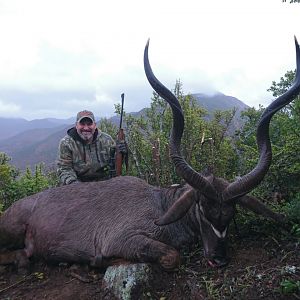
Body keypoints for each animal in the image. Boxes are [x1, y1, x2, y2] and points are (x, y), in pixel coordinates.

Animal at [0, 36, 300, 270]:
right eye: (202, 209)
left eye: (231, 212)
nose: (219, 259)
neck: (161, 205)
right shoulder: (124, 238)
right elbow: (171, 256)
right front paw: (99, 261)